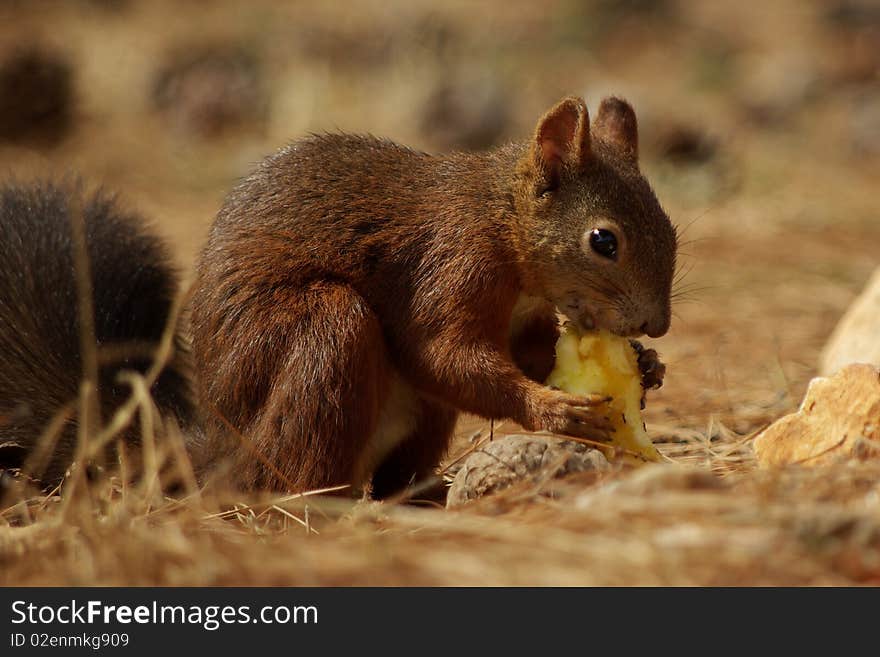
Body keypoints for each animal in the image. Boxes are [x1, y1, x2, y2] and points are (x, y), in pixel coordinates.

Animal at [0, 96, 676, 498]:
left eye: (669, 226)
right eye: (604, 241)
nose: (657, 325)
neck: (501, 223)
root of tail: (223, 453)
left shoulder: (526, 317)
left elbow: (522, 357)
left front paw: (646, 367)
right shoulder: (449, 266)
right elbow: (443, 356)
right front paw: (555, 410)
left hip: (416, 419)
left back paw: (421, 493)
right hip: (322, 332)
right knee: (300, 477)